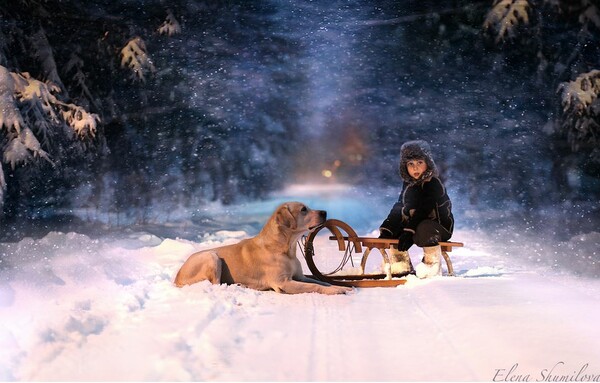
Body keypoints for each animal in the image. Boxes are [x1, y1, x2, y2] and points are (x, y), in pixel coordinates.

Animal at [173, 202, 352, 296]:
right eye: (303, 209)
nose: (324, 212)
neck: (286, 248)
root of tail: (177, 278)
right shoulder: (283, 283)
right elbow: (315, 286)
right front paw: (337, 289)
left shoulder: (299, 277)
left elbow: (320, 281)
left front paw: (340, 286)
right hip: (212, 257)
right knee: (216, 285)